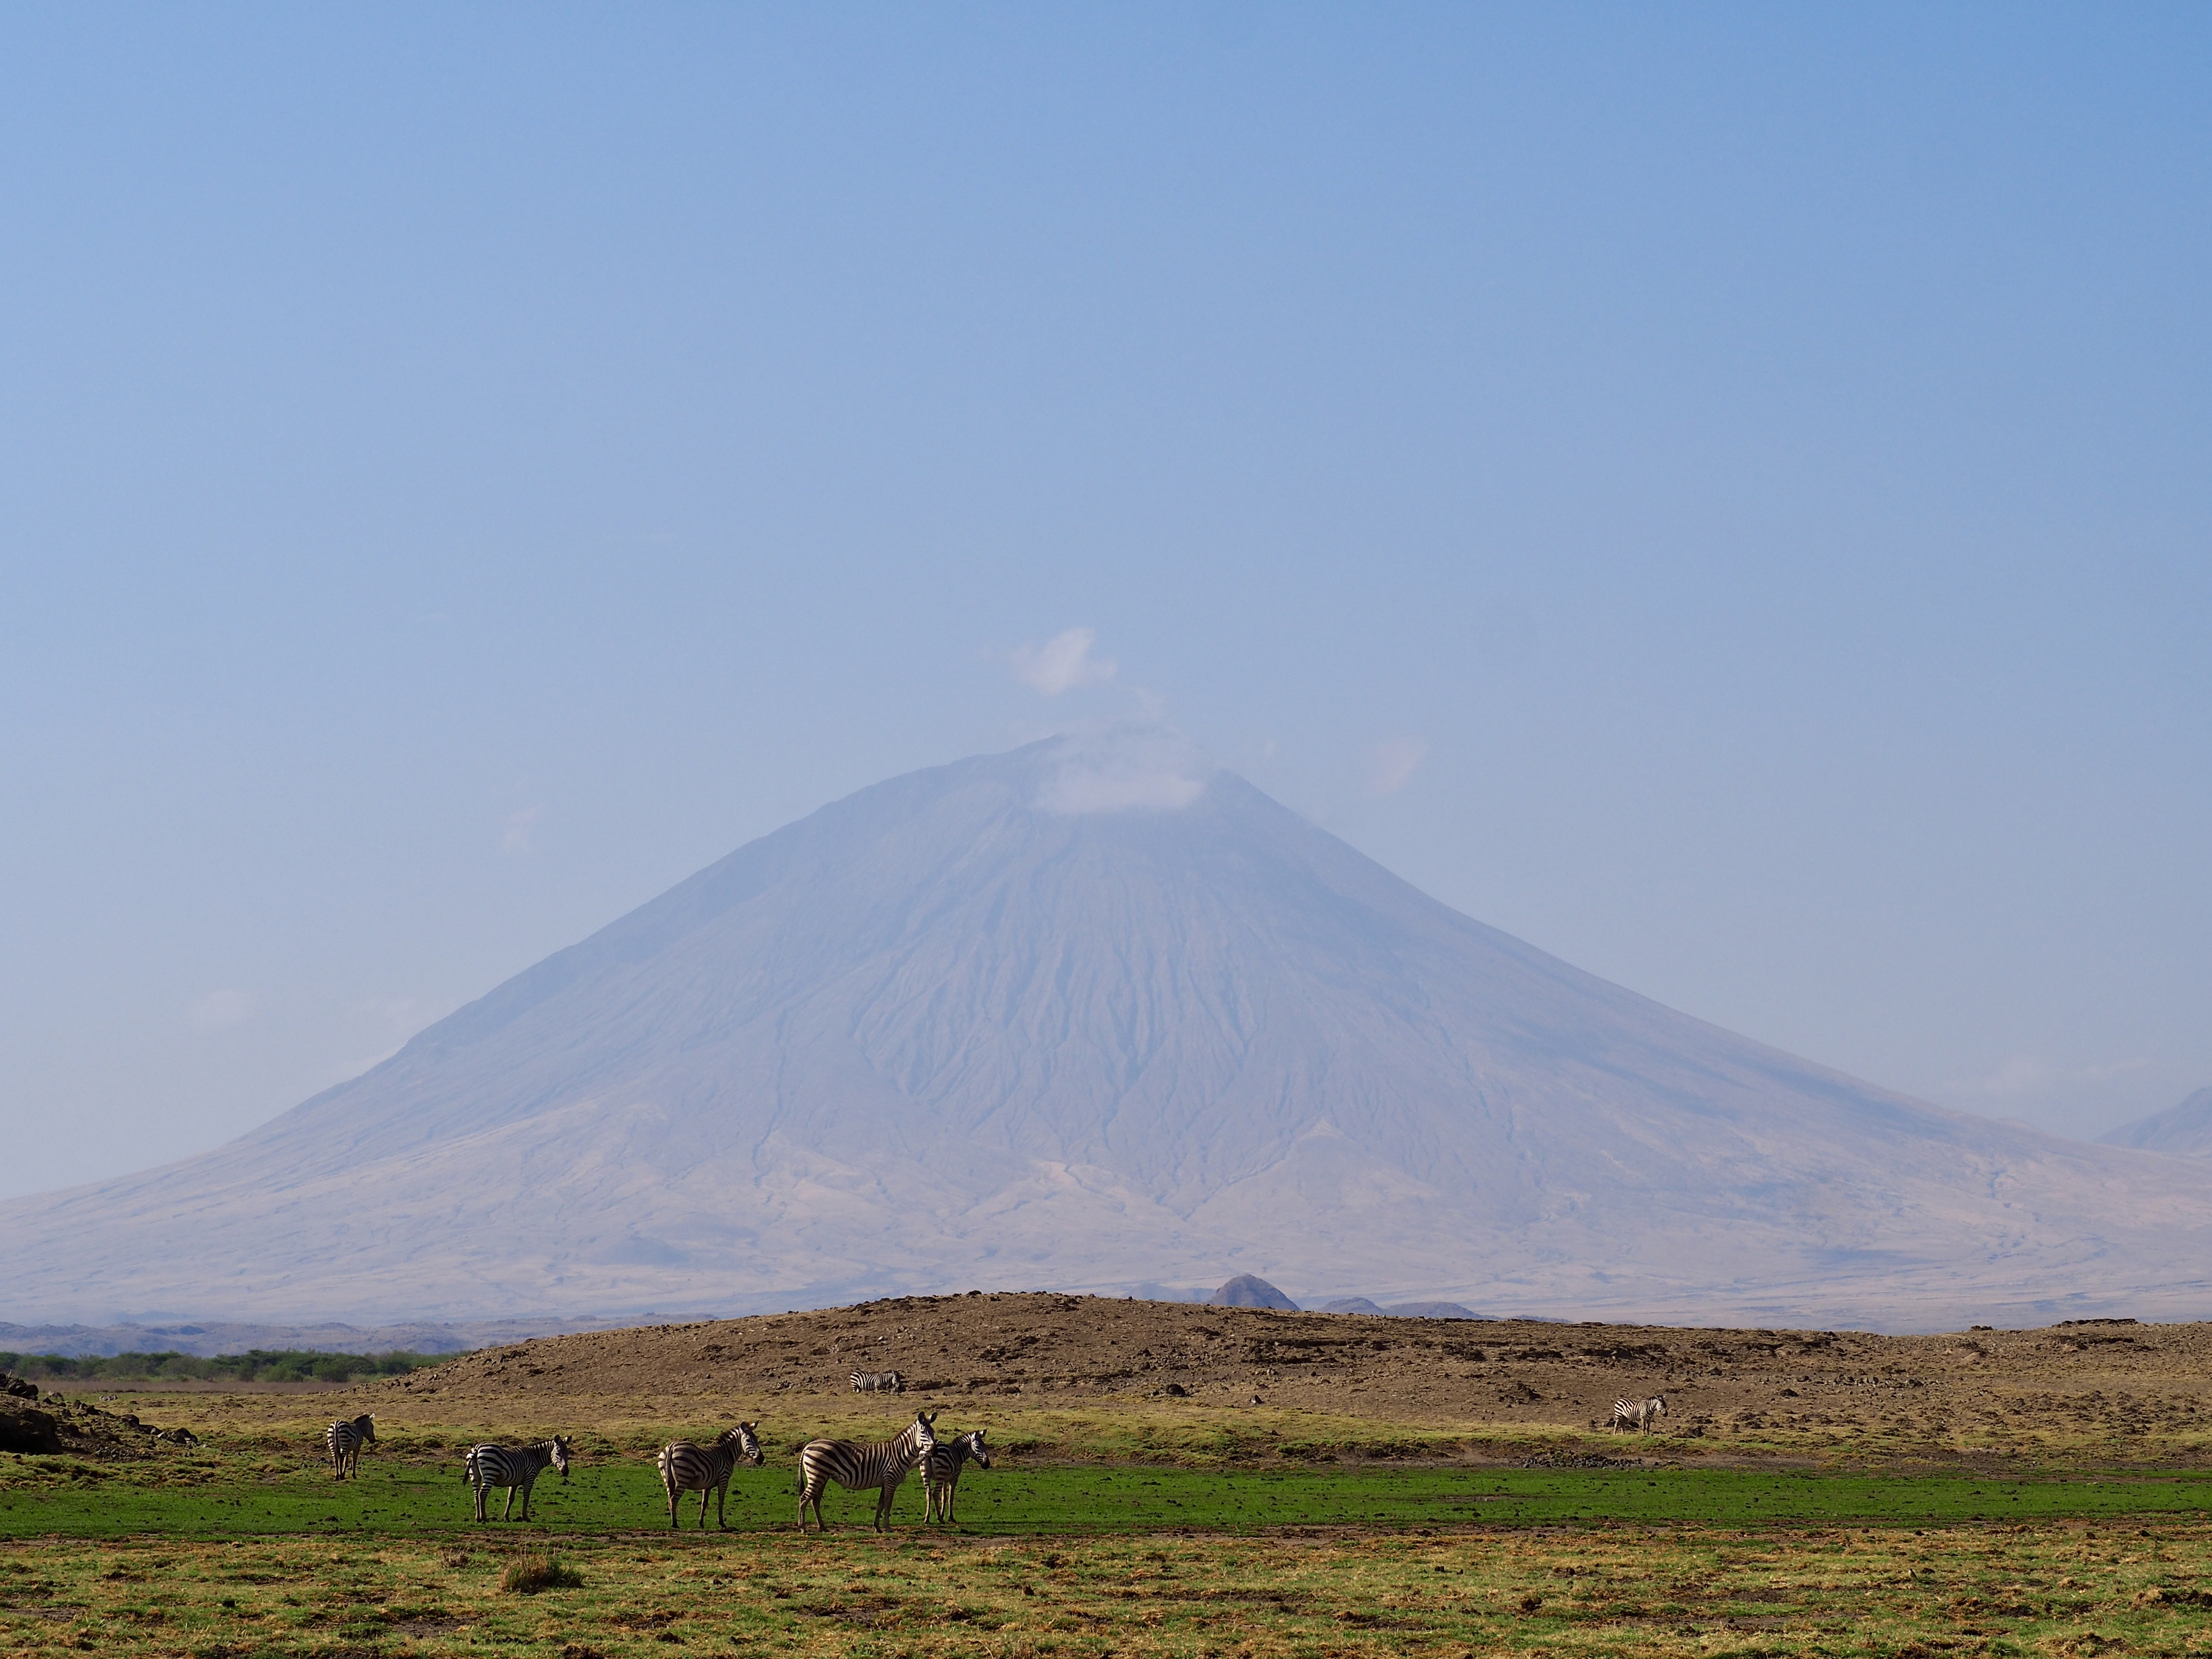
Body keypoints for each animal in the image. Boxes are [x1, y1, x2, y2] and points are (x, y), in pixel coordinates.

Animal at [323, 1416, 376, 1478]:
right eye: (372, 1428)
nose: (374, 1441)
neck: (360, 1430)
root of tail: (336, 1425)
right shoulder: (358, 1447)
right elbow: (354, 1461)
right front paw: (353, 1475)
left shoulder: (347, 1450)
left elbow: (346, 1461)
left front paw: (344, 1474)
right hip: (344, 1443)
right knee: (341, 1459)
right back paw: (340, 1476)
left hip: (332, 1445)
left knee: (336, 1459)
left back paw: (337, 1476)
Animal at [464, 1433, 575, 1530]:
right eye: (558, 1453)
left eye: (568, 1453)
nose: (566, 1472)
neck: (536, 1457)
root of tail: (477, 1448)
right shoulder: (529, 1478)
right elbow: (526, 1497)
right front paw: (525, 1517)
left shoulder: (515, 1482)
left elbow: (510, 1499)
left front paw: (507, 1518)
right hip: (490, 1473)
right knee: (482, 1494)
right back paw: (485, 1518)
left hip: (475, 1476)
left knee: (476, 1494)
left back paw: (478, 1518)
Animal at [650, 1424, 765, 1539]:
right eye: (748, 1440)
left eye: (757, 1439)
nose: (761, 1459)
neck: (727, 1453)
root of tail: (672, 1446)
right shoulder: (724, 1479)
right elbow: (721, 1501)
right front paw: (722, 1523)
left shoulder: (707, 1485)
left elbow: (704, 1503)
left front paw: (701, 1523)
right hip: (683, 1478)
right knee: (674, 1500)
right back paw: (675, 1524)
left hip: (668, 1479)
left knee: (670, 1499)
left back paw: (673, 1521)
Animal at [796, 1407, 933, 1539]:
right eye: (923, 1433)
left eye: (933, 1432)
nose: (933, 1449)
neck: (900, 1454)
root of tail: (808, 1446)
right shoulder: (891, 1480)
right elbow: (888, 1504)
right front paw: (888, 1528)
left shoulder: (885, 1482)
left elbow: (881, 1504)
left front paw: (877, 1527)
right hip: (817, 1476)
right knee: (804, 1498)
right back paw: (803, 1528)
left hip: (822, 1477)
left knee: (815, 1501)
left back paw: (822, 1527)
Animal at [915, 1433, 995, 1530]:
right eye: (978, 1447)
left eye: (985, 1446)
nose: (987, 1465)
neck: (958, 1453)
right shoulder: (954, 1479)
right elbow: (951, 1498)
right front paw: (951, 1518)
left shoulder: (945, 1479)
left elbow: (944, 1498)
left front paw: (942, 1515)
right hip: (940, 1474)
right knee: (935, 1495)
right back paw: (939, 1519)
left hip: (926, 1474)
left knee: (929, 1494)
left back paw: (927, 1518)